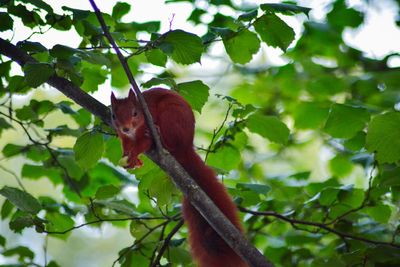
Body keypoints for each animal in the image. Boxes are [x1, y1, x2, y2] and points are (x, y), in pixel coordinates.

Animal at [111, 89, 247, 266]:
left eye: (135, 113)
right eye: (113, 115)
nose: (126, 128)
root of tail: (186, 147)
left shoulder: (147, 125)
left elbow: (144, 143)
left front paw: (134, 155)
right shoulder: (124, 137)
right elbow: (126, 145)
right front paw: (129, 157)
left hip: (171, 117)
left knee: (170, 143)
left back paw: (162, 139)